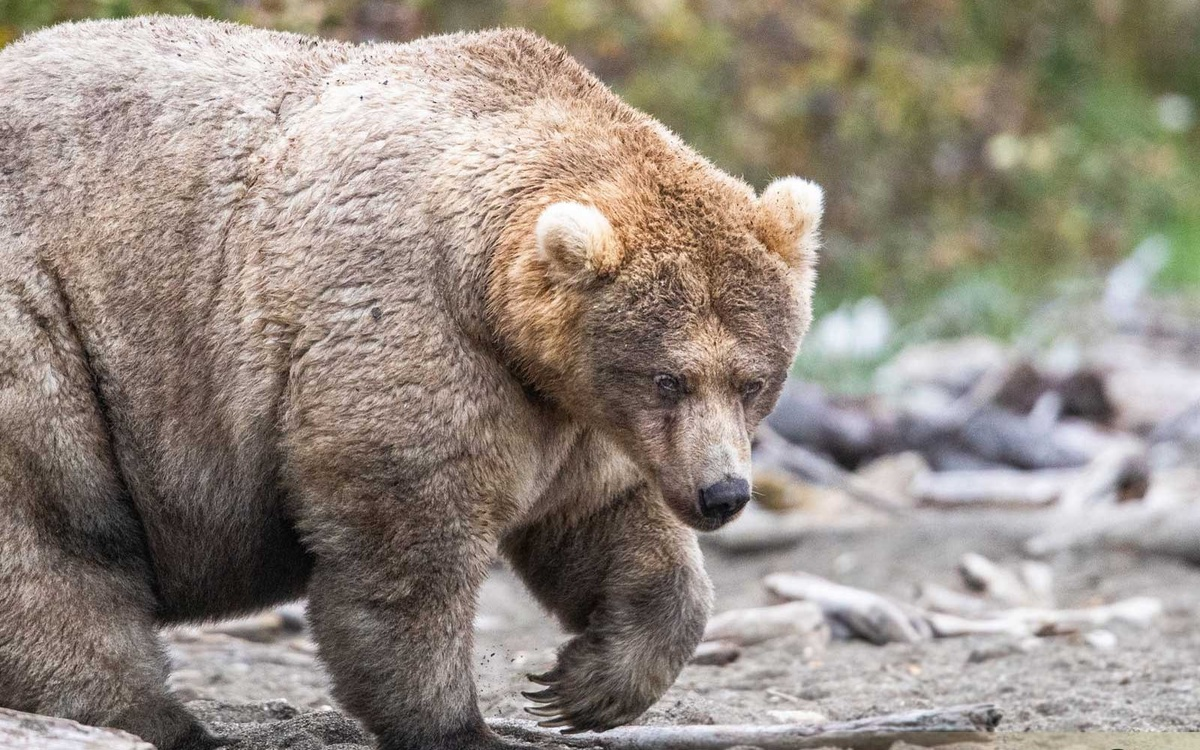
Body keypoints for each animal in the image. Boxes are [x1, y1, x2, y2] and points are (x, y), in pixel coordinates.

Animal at [0, 16, 820, 748]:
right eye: (667, 378)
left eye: (752, 380)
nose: (723, 494)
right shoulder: (410, 328)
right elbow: (409, 543)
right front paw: (462, 725)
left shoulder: (573, 410)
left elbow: (606, 520)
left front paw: (584, 685)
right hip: (50, 328)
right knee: (55, 529)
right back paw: (158, 718)